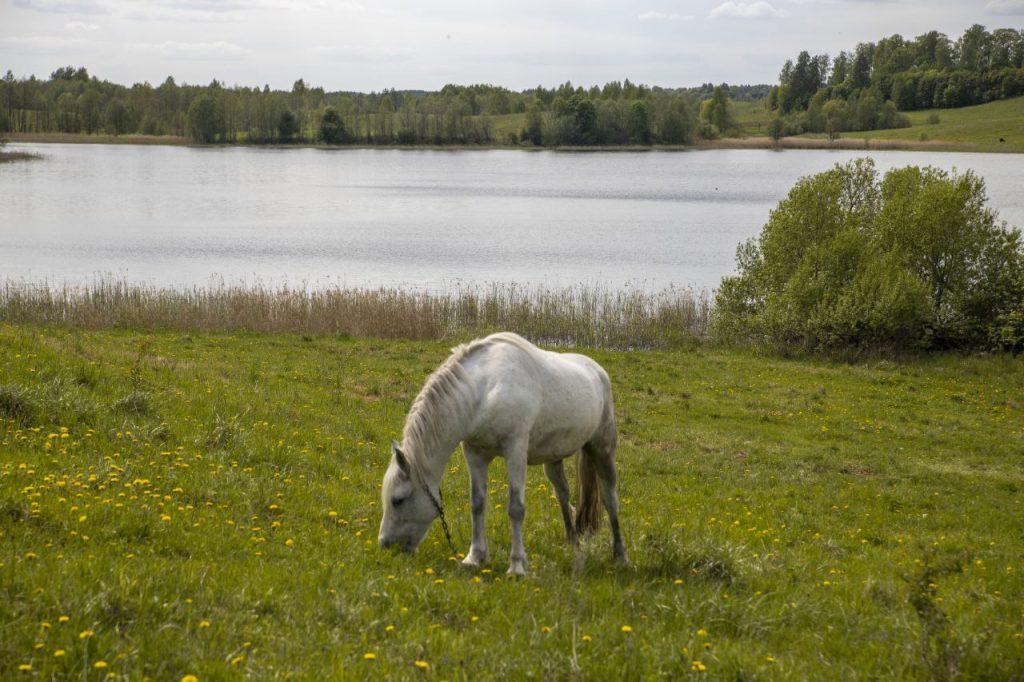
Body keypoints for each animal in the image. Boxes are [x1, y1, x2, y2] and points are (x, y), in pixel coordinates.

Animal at [380, 331, 626, 569]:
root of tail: (598, 371)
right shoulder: (475, 454)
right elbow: (477, 504)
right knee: (563, 496)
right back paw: (573, 544)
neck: (485, 391)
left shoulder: (515, 450)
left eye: (397, 500)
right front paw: (474, 557)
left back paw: (621, 557)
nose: (385, 544)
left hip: (602, 449)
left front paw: (516, 565)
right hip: (553, 460)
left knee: (610, 499)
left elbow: (515, 508)